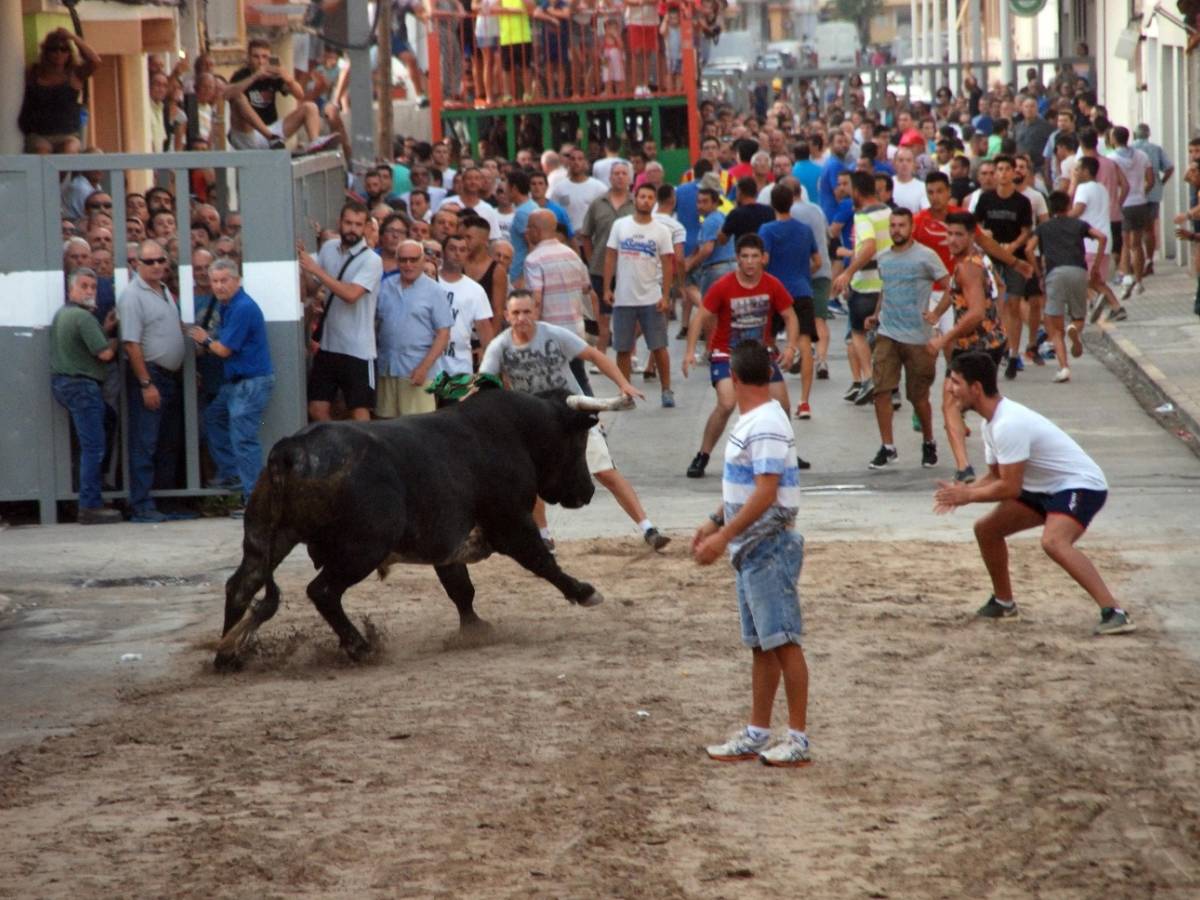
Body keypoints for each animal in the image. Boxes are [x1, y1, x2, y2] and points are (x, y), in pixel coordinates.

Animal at [210, 388, 614, 672]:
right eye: (579, 441)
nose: (587, 491)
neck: (515, 433)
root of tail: (290, 449)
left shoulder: (445, 543)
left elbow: (460, 588)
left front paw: (475, 629)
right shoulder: (511, 523)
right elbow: (542, 562)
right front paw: (585, 592)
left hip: (268, 536)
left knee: (242, 584)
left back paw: (227, 656)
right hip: (362, 549)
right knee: (322, 590)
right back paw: (360, 647)